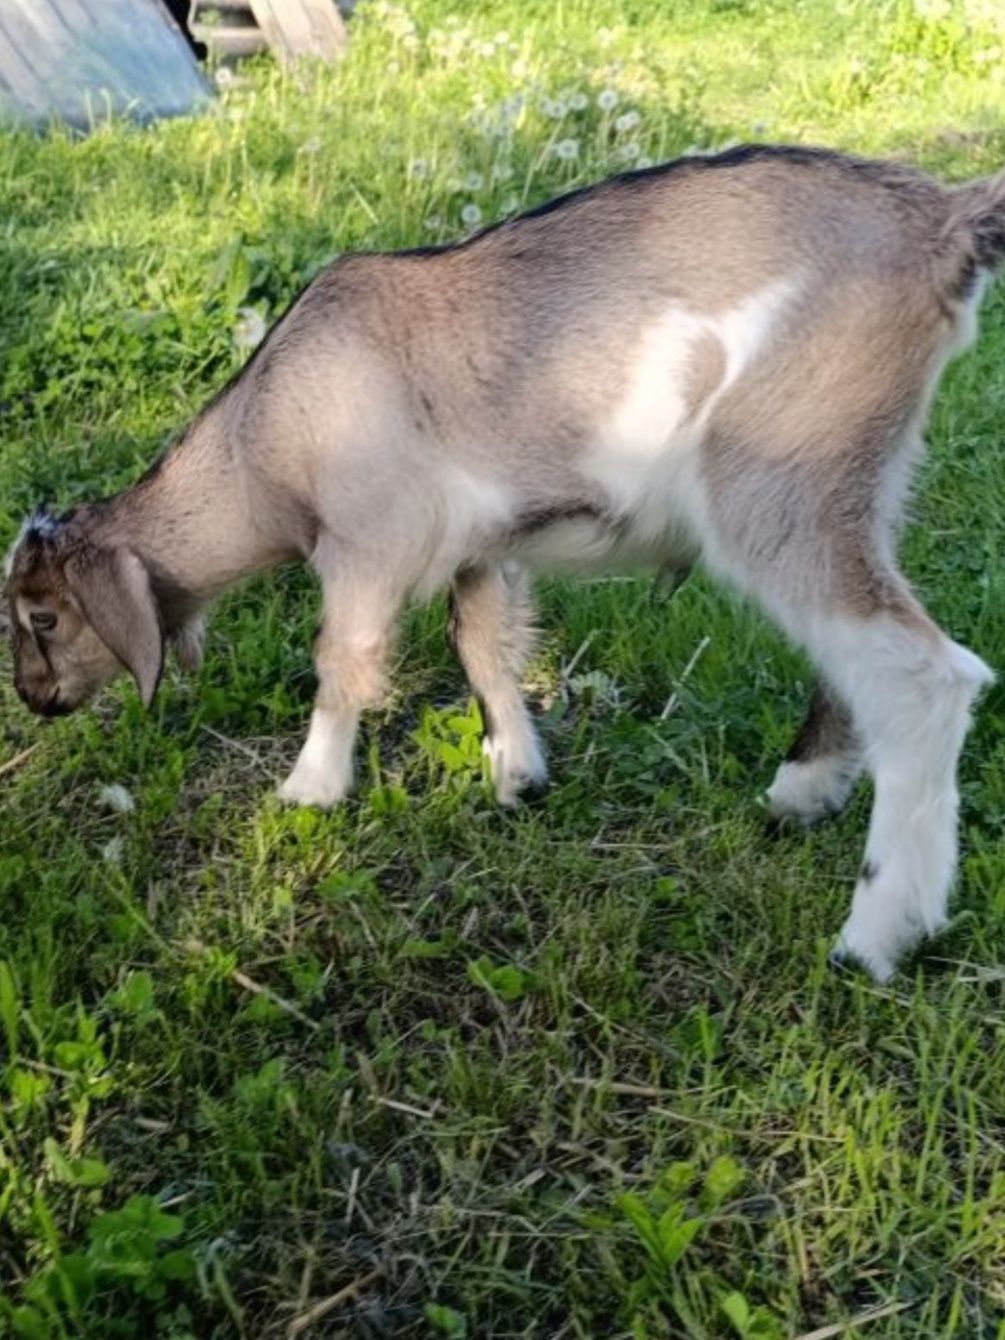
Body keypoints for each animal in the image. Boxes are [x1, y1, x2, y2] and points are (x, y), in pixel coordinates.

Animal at [3, 146, 1002, 980]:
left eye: (42, 616)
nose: (35, 700)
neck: (265, 436)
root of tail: (939, 219)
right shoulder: (480, 549)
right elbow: (483, 643)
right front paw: (515, 776)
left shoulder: (367, 541)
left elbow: (342, 663)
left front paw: (309, 790)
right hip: (861, 487)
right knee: (860, 650)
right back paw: (800, 793)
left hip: (776, 483)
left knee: (919, 676)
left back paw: (874, 937)